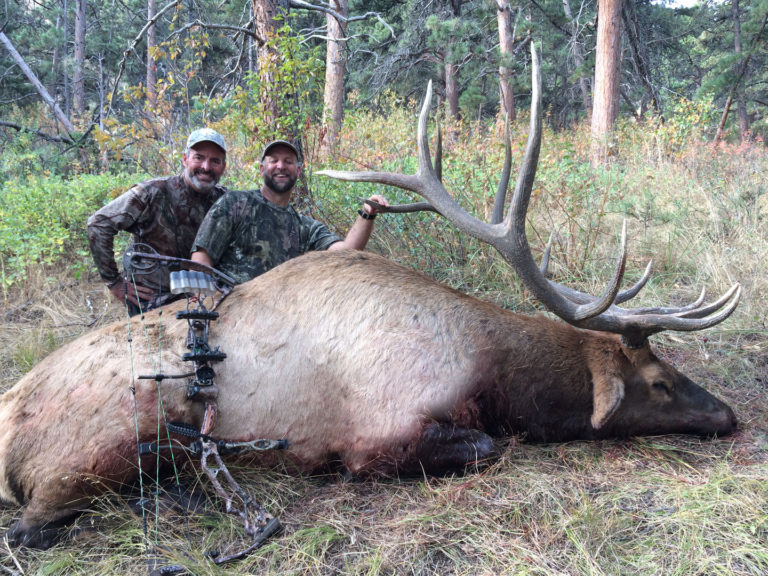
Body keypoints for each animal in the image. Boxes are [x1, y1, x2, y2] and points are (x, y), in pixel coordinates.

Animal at [3, 46, 740, 548]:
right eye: (660, 382)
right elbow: (488, 446)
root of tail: (7, 417)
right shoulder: (380, 434)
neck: (492, 368)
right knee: (32, 524)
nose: (729, 416)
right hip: (99, 449)